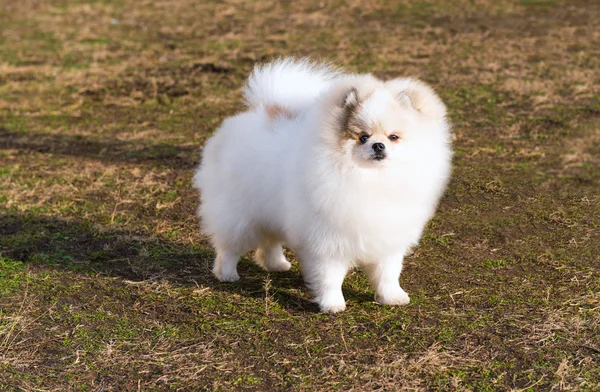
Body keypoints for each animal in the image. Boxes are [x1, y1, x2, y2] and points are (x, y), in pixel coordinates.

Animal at [195, 58, 452, 314]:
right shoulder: (327, 241)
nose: (378, 145)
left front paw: (392, 297)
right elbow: (330, 277)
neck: (370, 179)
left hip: (271, 213)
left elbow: (387, 273)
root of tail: (262, 111)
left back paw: (277, 264)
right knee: (229, 247)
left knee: (270, 241)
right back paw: (227, 274)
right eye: (363, 137)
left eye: (393, 137)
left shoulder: (387, 239)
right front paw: (332, 304)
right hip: (239, 216)